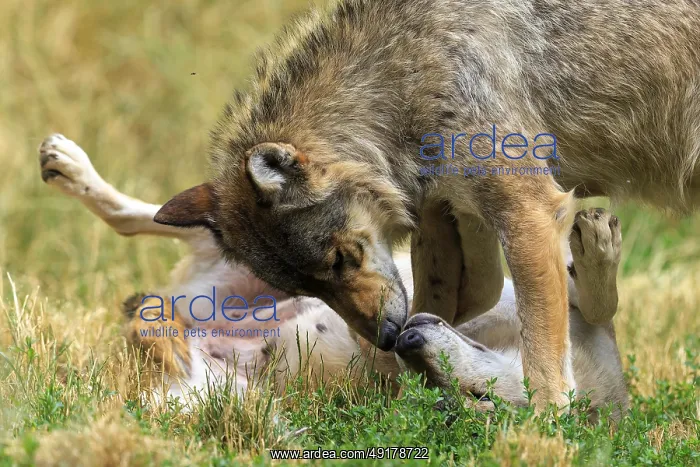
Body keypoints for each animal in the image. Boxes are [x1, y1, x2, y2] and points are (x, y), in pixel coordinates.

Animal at [38, 134, 628, 420]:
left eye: (471, 396)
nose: (405, 341)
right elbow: (597, 299)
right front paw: (597, 248)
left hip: (217, 389)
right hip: (240, 252)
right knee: (154, 216)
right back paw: (69, 167)